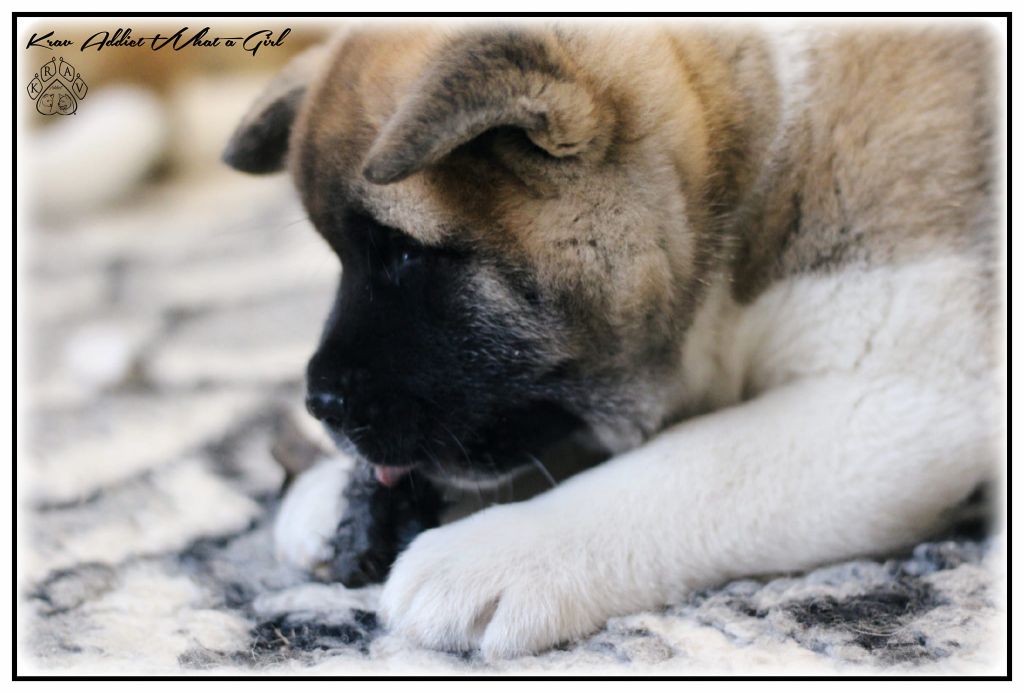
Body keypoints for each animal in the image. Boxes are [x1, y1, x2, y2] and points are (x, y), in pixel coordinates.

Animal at [223, 22, 1002, 658]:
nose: (319, 405)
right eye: (344, 259)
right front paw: (334, 497)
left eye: (408, 254)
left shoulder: (909, 399)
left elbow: (696, 461)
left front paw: (501, 552)